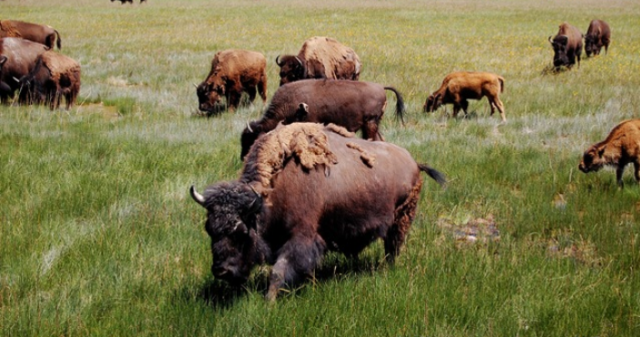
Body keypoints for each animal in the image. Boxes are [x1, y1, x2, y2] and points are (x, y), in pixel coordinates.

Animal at [190, 121, 444, 300]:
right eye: (209, 229)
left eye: (241, 231)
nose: (221, 271)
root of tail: (413, 162)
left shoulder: (301, 237)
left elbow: (279, 270)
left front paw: (269, 301)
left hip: (401, 220)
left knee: (393, 248)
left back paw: (386, 270)